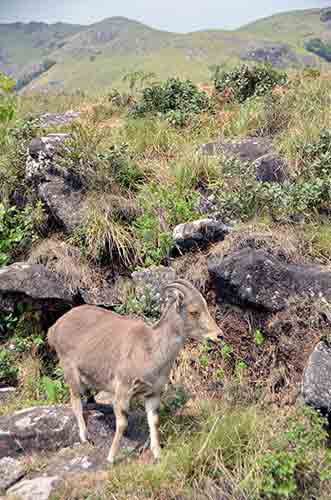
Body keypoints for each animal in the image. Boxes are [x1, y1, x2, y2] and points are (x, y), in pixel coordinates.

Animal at [47, 280, 223, 462]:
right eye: (194, 311)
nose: (219, 335)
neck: (151, 350)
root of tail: (54, 328)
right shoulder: (123, 390)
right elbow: (122, 423)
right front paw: (111, 458)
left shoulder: (153, 393)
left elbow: (153, 421)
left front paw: (158, 454)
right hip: (70, 370)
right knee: (75, 400)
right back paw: (85, 437)